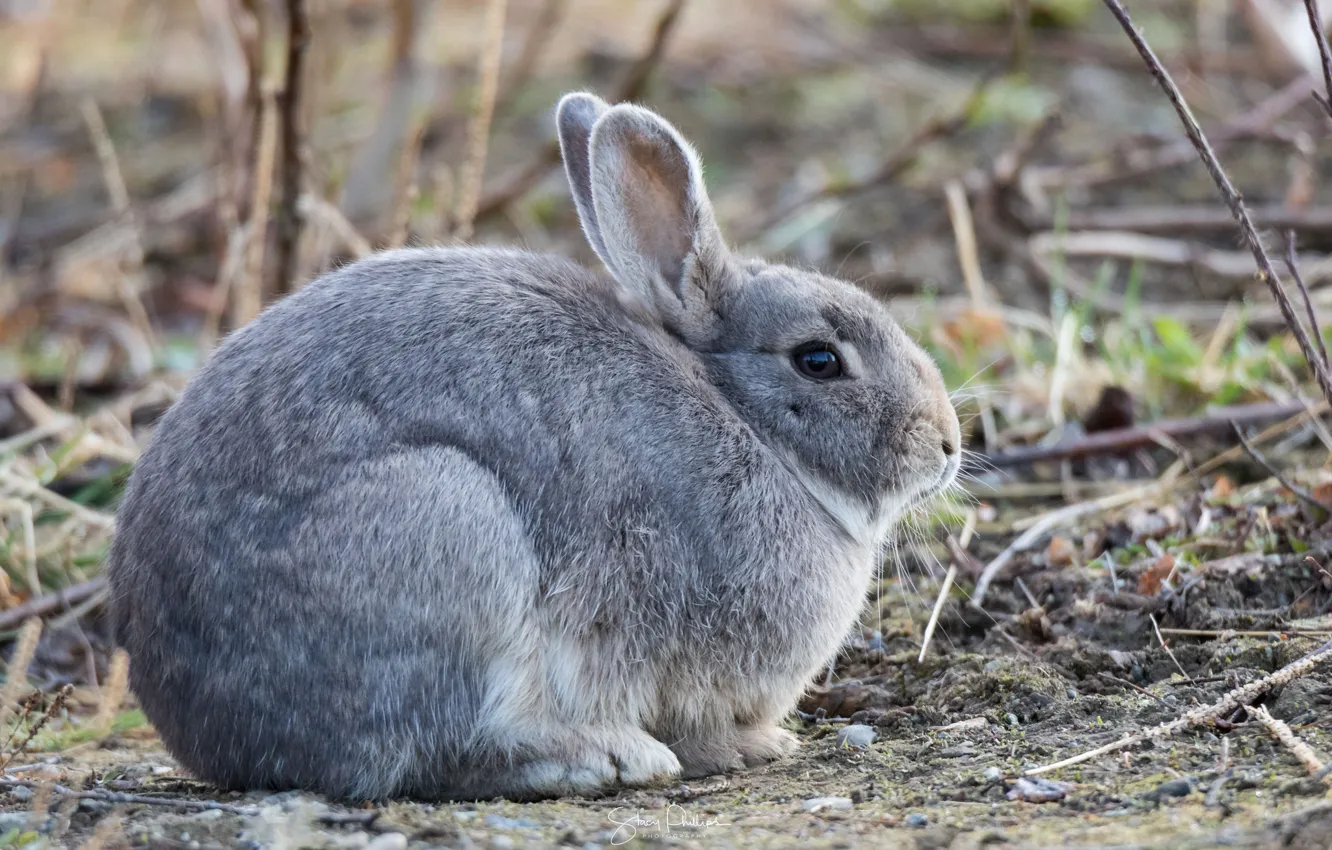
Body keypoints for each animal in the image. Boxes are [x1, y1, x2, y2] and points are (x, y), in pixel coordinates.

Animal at [103, 93, 959, 804]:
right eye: (818, 360)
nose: (947, 444)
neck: (747, 421)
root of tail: (210, 731)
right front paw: (755, 747)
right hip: (446, 529)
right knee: (426, 756)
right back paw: (600, 758)